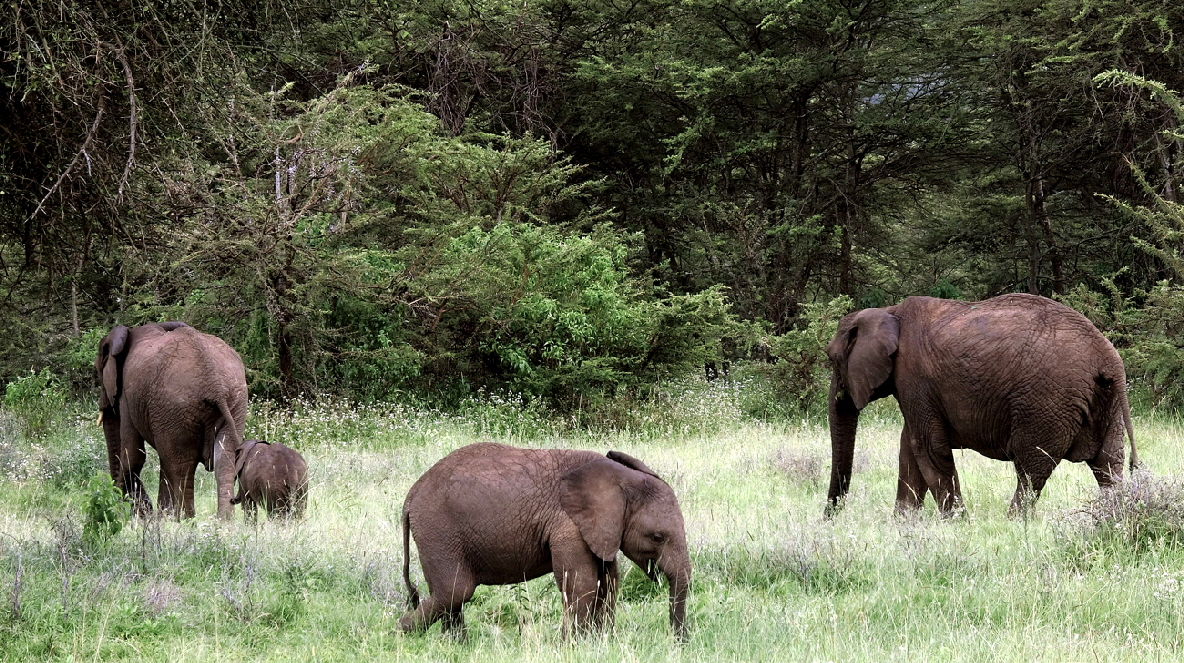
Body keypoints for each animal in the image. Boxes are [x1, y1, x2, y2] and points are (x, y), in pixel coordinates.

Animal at [95, 322, 249, 518]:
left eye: (99, 372)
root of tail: (214, 384)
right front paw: (155, 515)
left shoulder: (127, 398)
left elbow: (133, 454)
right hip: (235, 402)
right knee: (224, 461)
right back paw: (223, 522)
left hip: (175, 406)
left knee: (180, 465)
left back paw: (185, 520)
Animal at [400, 442, 691, 639]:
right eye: (657, 537)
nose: (679, 641)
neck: (619, 478)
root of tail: (411, 495)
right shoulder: (568, 523)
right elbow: (582, 582)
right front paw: (573, 646)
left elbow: (608, 580)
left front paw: (600, 640)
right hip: (438, 530)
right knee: (455, 591)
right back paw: (401, 632)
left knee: (450, 596)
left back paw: (457, 645)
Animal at [824, 293, 1136, 518]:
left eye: (832, 359)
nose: (830, 517)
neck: (889, 311)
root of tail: (1106, 356)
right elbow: (909, 448)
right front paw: (904, 524)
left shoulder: (913, 375)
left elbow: (926, 446)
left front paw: (957, 523)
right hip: (1103, 401)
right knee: (1108, 464)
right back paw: (1115, 515)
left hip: (1047, 400)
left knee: (1031, 467)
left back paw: (1013, 522)